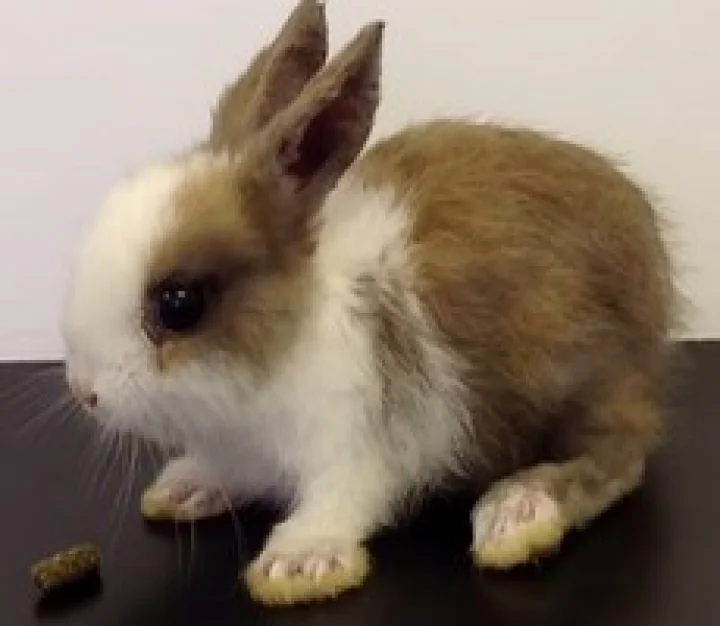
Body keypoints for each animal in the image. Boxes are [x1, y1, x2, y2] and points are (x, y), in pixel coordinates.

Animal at [61, 0, 678, 608]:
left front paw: (299, 566)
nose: (84, 391)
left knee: (622, 452)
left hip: (578, 372)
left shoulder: (358, 441)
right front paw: (184, 488)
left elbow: (342, 499)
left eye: (179, 304)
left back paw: (517, 512)